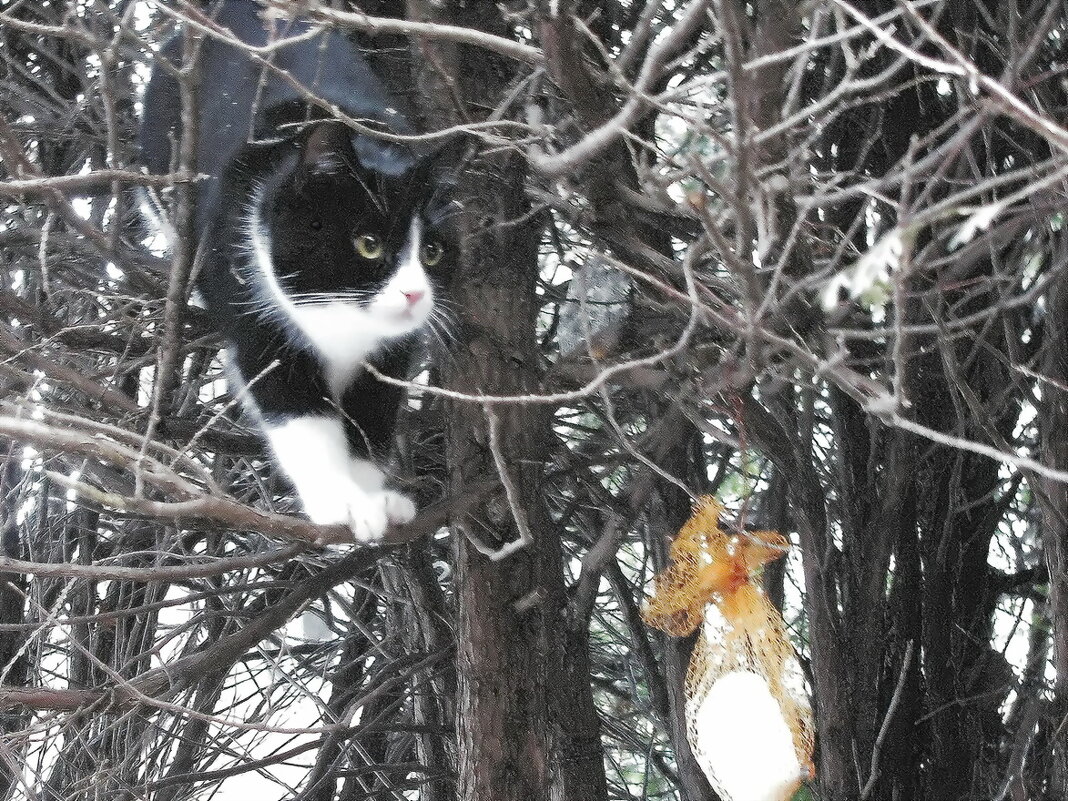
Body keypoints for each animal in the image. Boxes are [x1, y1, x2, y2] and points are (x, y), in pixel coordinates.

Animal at [139, 1, 452, 546]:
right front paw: (340, 503)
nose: (415, 294)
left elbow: (369, 422)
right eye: (368, 244)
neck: (341, 323)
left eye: (431, 252)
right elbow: (299, 416)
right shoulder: (258, 321)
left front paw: (374, 499)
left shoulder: (390, 356)